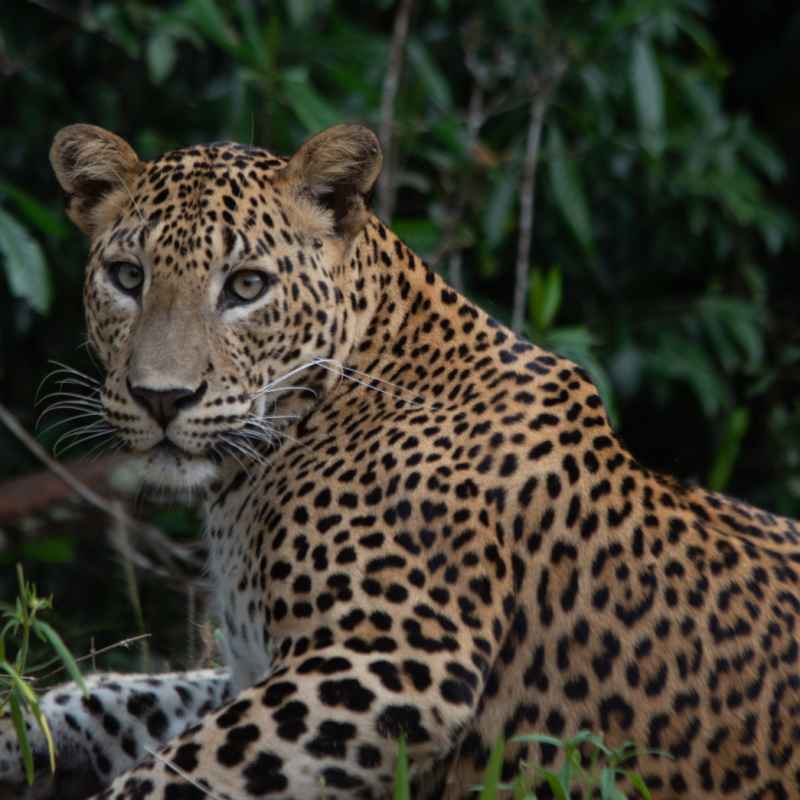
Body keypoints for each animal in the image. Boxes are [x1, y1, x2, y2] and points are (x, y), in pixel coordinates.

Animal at [1, 121, 799, 800]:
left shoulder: (395, 661)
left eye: (247, 286)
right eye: (128, 277)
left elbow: (170, 773)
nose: (161, 397)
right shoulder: (251, 666)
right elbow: (112, 695)